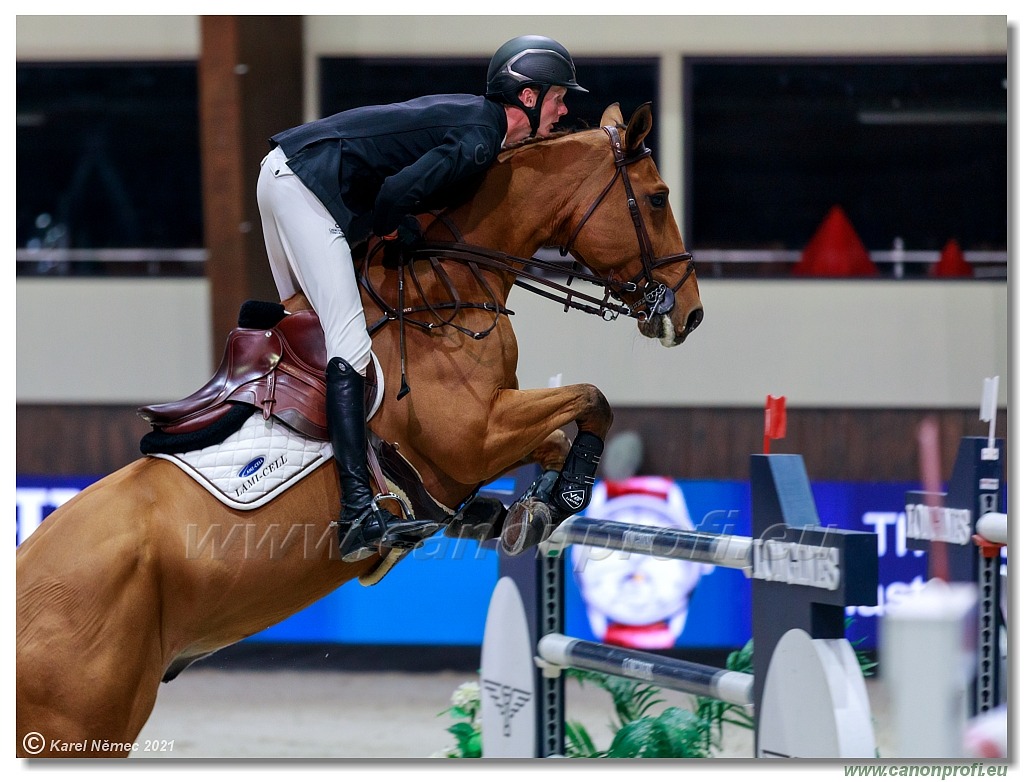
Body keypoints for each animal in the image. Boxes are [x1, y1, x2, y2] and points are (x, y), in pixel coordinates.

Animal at [18, 100, 704, 753]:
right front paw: (562, 498)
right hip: (82, 722)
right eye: (657, 197)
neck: (446, 290)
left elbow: (563, 432)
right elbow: (592, 399)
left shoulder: (484, 441)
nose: (691, 314)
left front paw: (526, 511)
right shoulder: (474, 440)